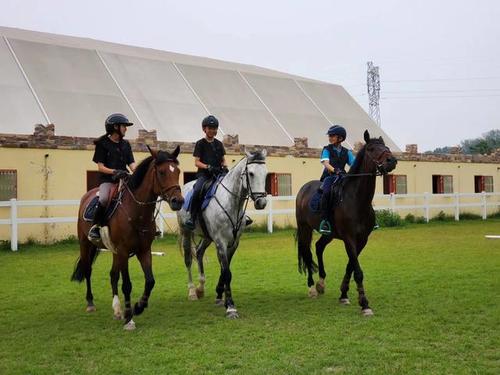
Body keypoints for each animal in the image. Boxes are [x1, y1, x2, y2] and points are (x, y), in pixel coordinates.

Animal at [72, 145, 184, 330]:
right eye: (161, 172)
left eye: (178, 171)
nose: (178, 201)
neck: (137, 212)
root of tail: (87, 196)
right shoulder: (124, 251)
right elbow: (127, 285)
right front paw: (129, 318)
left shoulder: (143, 250)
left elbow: (150, 281)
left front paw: (138, 307)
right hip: (86, 244)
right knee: (88, 270)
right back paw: (90, 303)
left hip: (114, 251)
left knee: (112, 275)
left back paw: (117, 310)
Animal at [177, 148, 268, 318]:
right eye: (251, 173)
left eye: (266, 174)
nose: (261, 203)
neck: (231, 203)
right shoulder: (220, 242)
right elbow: (226, 272)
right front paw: (231, 307)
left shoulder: (233, 243)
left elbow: (225, 270)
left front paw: (221, 296)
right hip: (185, 232)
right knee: (188, 260)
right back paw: (192, 291)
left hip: (207, 237)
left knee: (199, 252)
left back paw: (200, 288)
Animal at [294, 131, 396, 316]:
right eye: (371, 149)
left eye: (386, 147)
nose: (391, 161)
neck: (356, 200)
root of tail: (304, 188)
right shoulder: (349, 238)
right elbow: (358, 271)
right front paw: (365, 304)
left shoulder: (362, 240)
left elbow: (351, 267)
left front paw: (344, 295)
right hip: (305, 228)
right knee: (307, 252)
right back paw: (312, 288)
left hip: (329, 233)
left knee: (319, 247)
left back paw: (321, 284)